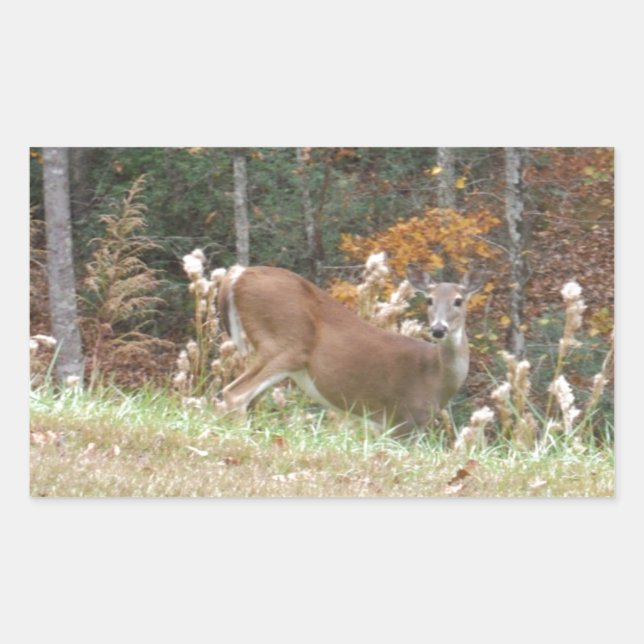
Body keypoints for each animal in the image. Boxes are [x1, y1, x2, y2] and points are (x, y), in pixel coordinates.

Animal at [217, 264, 482, 439]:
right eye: (428, 299)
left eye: (458, 300)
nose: (438, 329)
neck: (434, 375)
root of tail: (240, 273)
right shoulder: (403, 419)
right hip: (285, 343)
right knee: (235, 394)